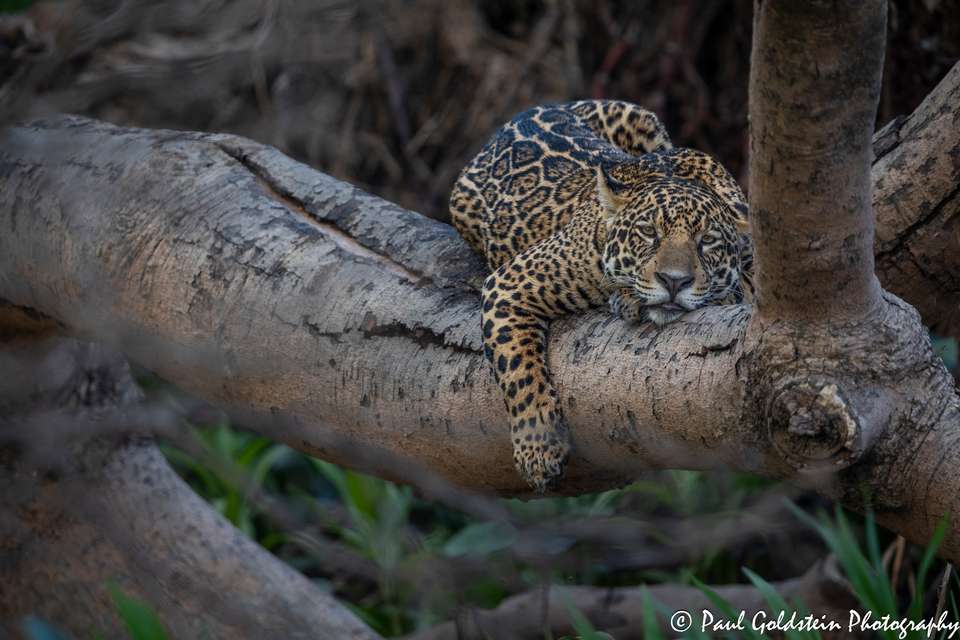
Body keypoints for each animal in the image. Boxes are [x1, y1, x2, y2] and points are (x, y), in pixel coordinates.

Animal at [450, 100, 753, 492]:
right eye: (649, 232)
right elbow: (518, 369)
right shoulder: (509, 283)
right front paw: (538, 451)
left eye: (708, 242)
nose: (674, 281)